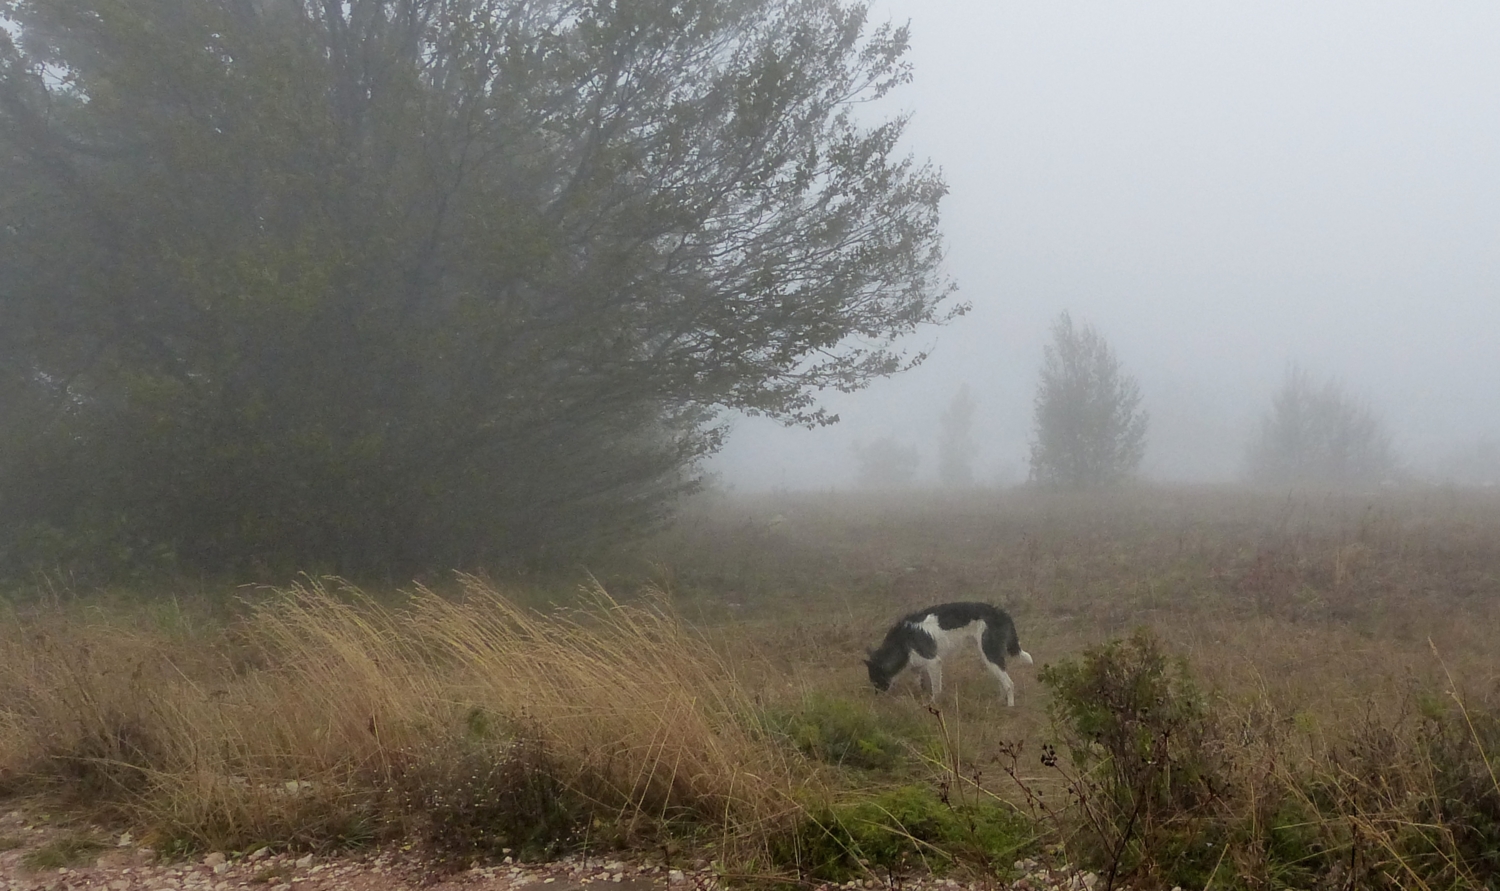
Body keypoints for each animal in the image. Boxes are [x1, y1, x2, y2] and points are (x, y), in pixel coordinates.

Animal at [870, 600, 1032, 705]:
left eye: (876, 680)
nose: (877, 699)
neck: (902, 639)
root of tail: (1002, 613)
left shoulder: (934, 663)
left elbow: (936, 690)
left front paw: (933, 704)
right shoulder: (919, 666)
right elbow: (920, 683)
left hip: (990, 656)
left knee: (1009, 684)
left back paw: (1009, 708)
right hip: (990, 659)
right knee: (1002, 682)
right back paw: (999, 702)